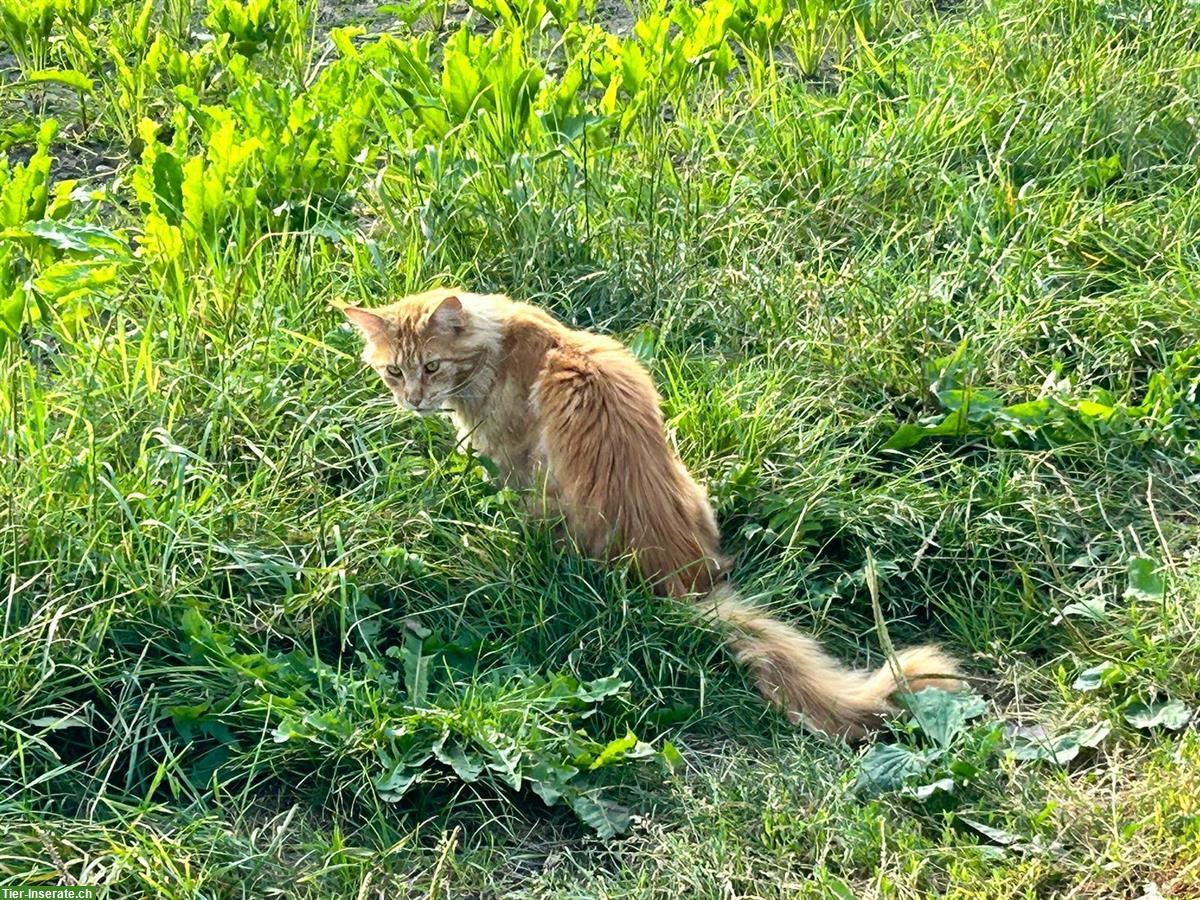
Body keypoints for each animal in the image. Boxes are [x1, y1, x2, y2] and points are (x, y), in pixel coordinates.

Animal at [343, 289, 960, 739]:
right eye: (394, 373)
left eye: (431, 366)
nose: (412, 401)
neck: (501, 341)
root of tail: (685, 586)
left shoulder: (508, 461)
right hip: (693, 484)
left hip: (553, 513)